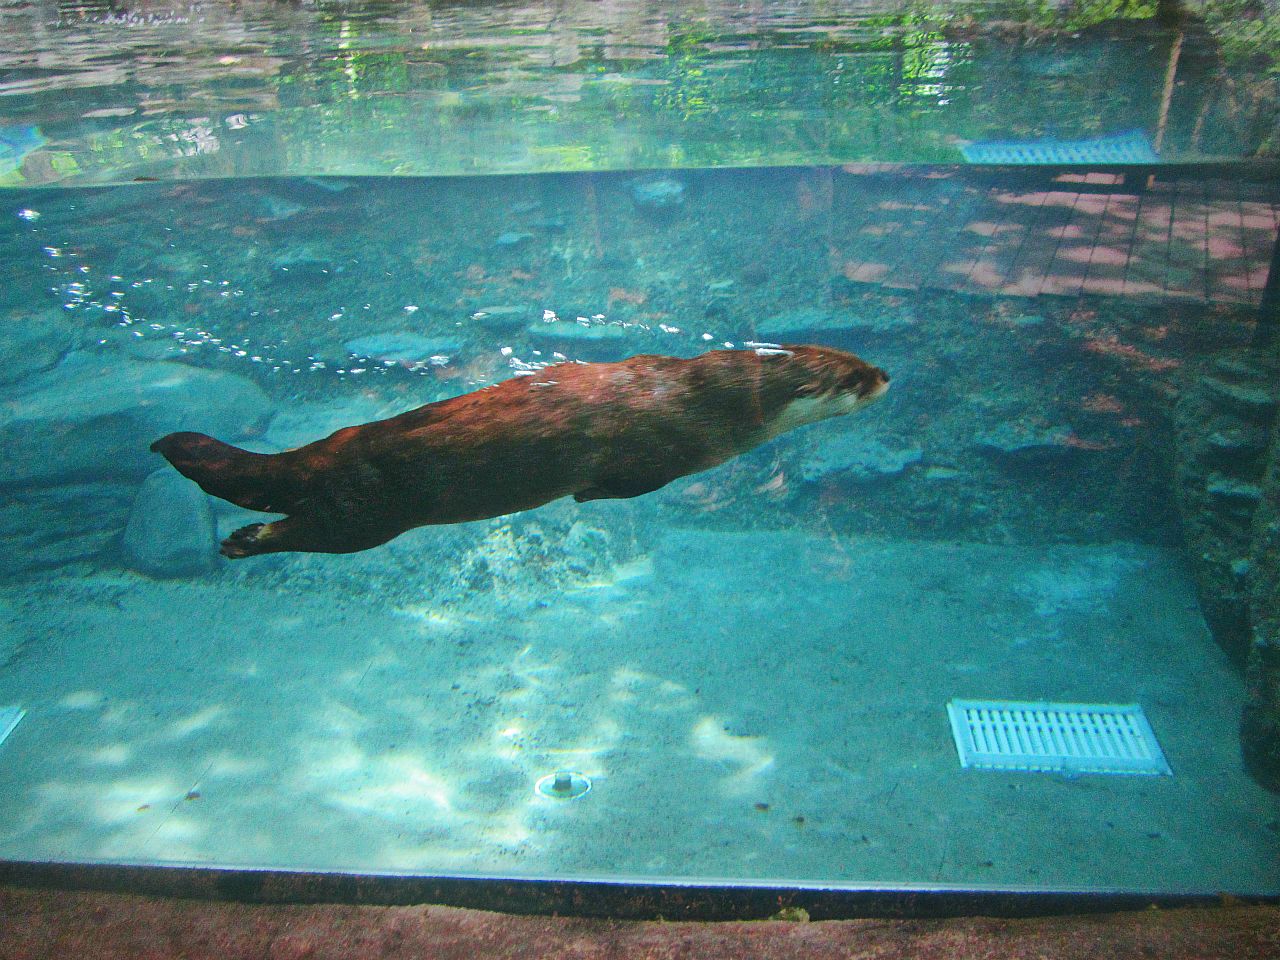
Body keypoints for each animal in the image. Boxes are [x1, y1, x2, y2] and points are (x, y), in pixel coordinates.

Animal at [151, 344, 889, 558]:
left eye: (856, 357)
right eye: (853, 376)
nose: (886, 374)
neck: (712, 399)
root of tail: (331, 446)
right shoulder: (665, 446)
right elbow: (620, 480)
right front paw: (589, 493)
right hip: (370, 511)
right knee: (313, 530)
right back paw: (242, 542)